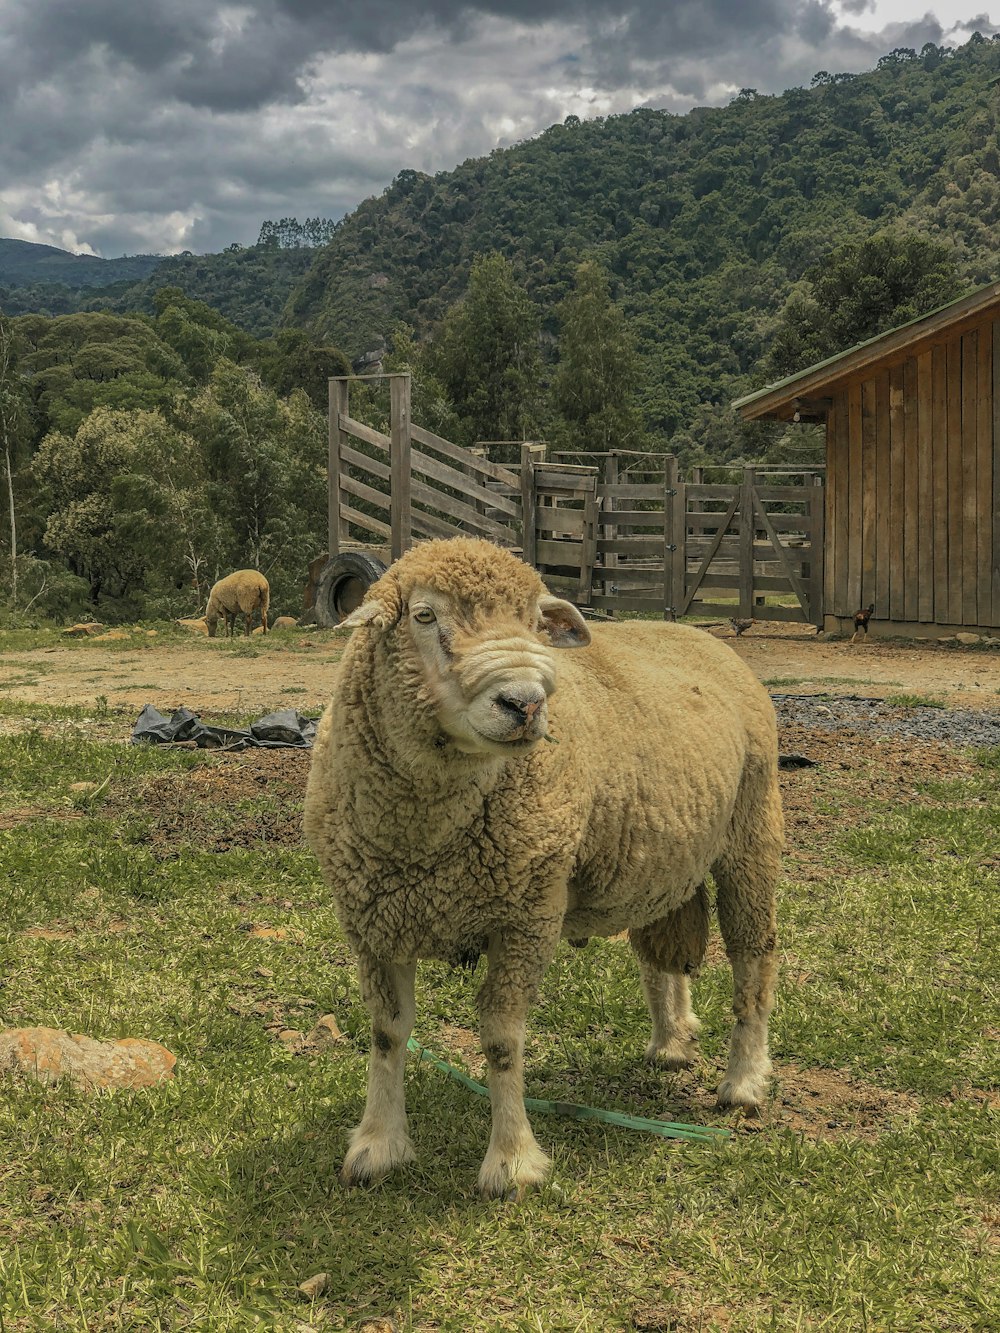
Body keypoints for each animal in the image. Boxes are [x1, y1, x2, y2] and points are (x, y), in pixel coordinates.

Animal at [301, 535, 789, 1205]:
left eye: (537, 622)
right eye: (424, 615)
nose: (526, 703)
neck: (426, 839)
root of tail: (699, 635)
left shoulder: (525, 915)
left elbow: (503, 1038)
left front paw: (512, 1162)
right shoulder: (374, 921)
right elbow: (387, 1033)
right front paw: (378, 1145)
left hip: (752, 832)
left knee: (753, 958)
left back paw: (744, 1080)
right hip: (659, 854)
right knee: (659, 952)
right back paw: (671, 1039)